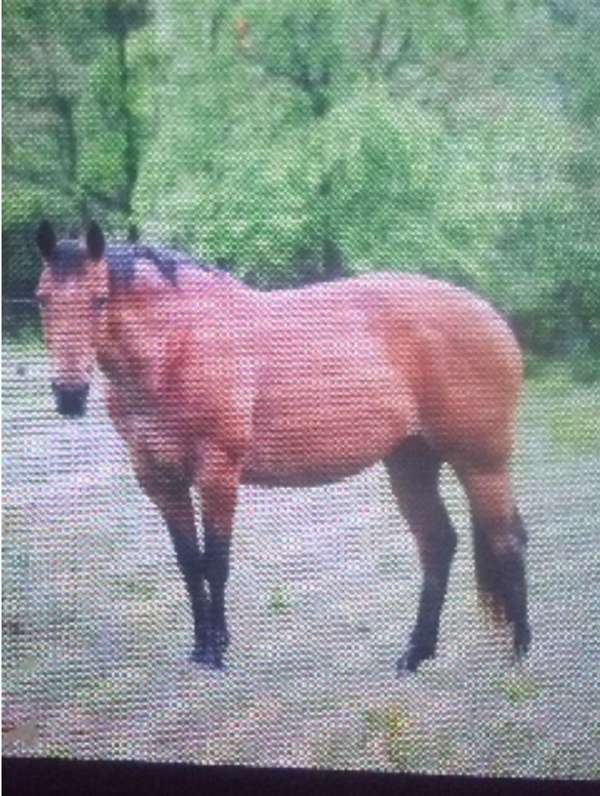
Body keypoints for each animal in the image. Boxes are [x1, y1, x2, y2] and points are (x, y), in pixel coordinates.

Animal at [35, 219, 531, 673]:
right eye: (42, 298)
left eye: (100, 299)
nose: (69, 394)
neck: (183, 342)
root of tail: (493, 320)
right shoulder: (159, 479)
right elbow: (189, 563)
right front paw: (201, 648)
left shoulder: (218, 473)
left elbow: (215, 562)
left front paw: (216, 652)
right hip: (411, 462)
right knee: (438, 542)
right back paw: (415, 654)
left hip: (481, 464)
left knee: (508, 541)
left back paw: (520, 652)